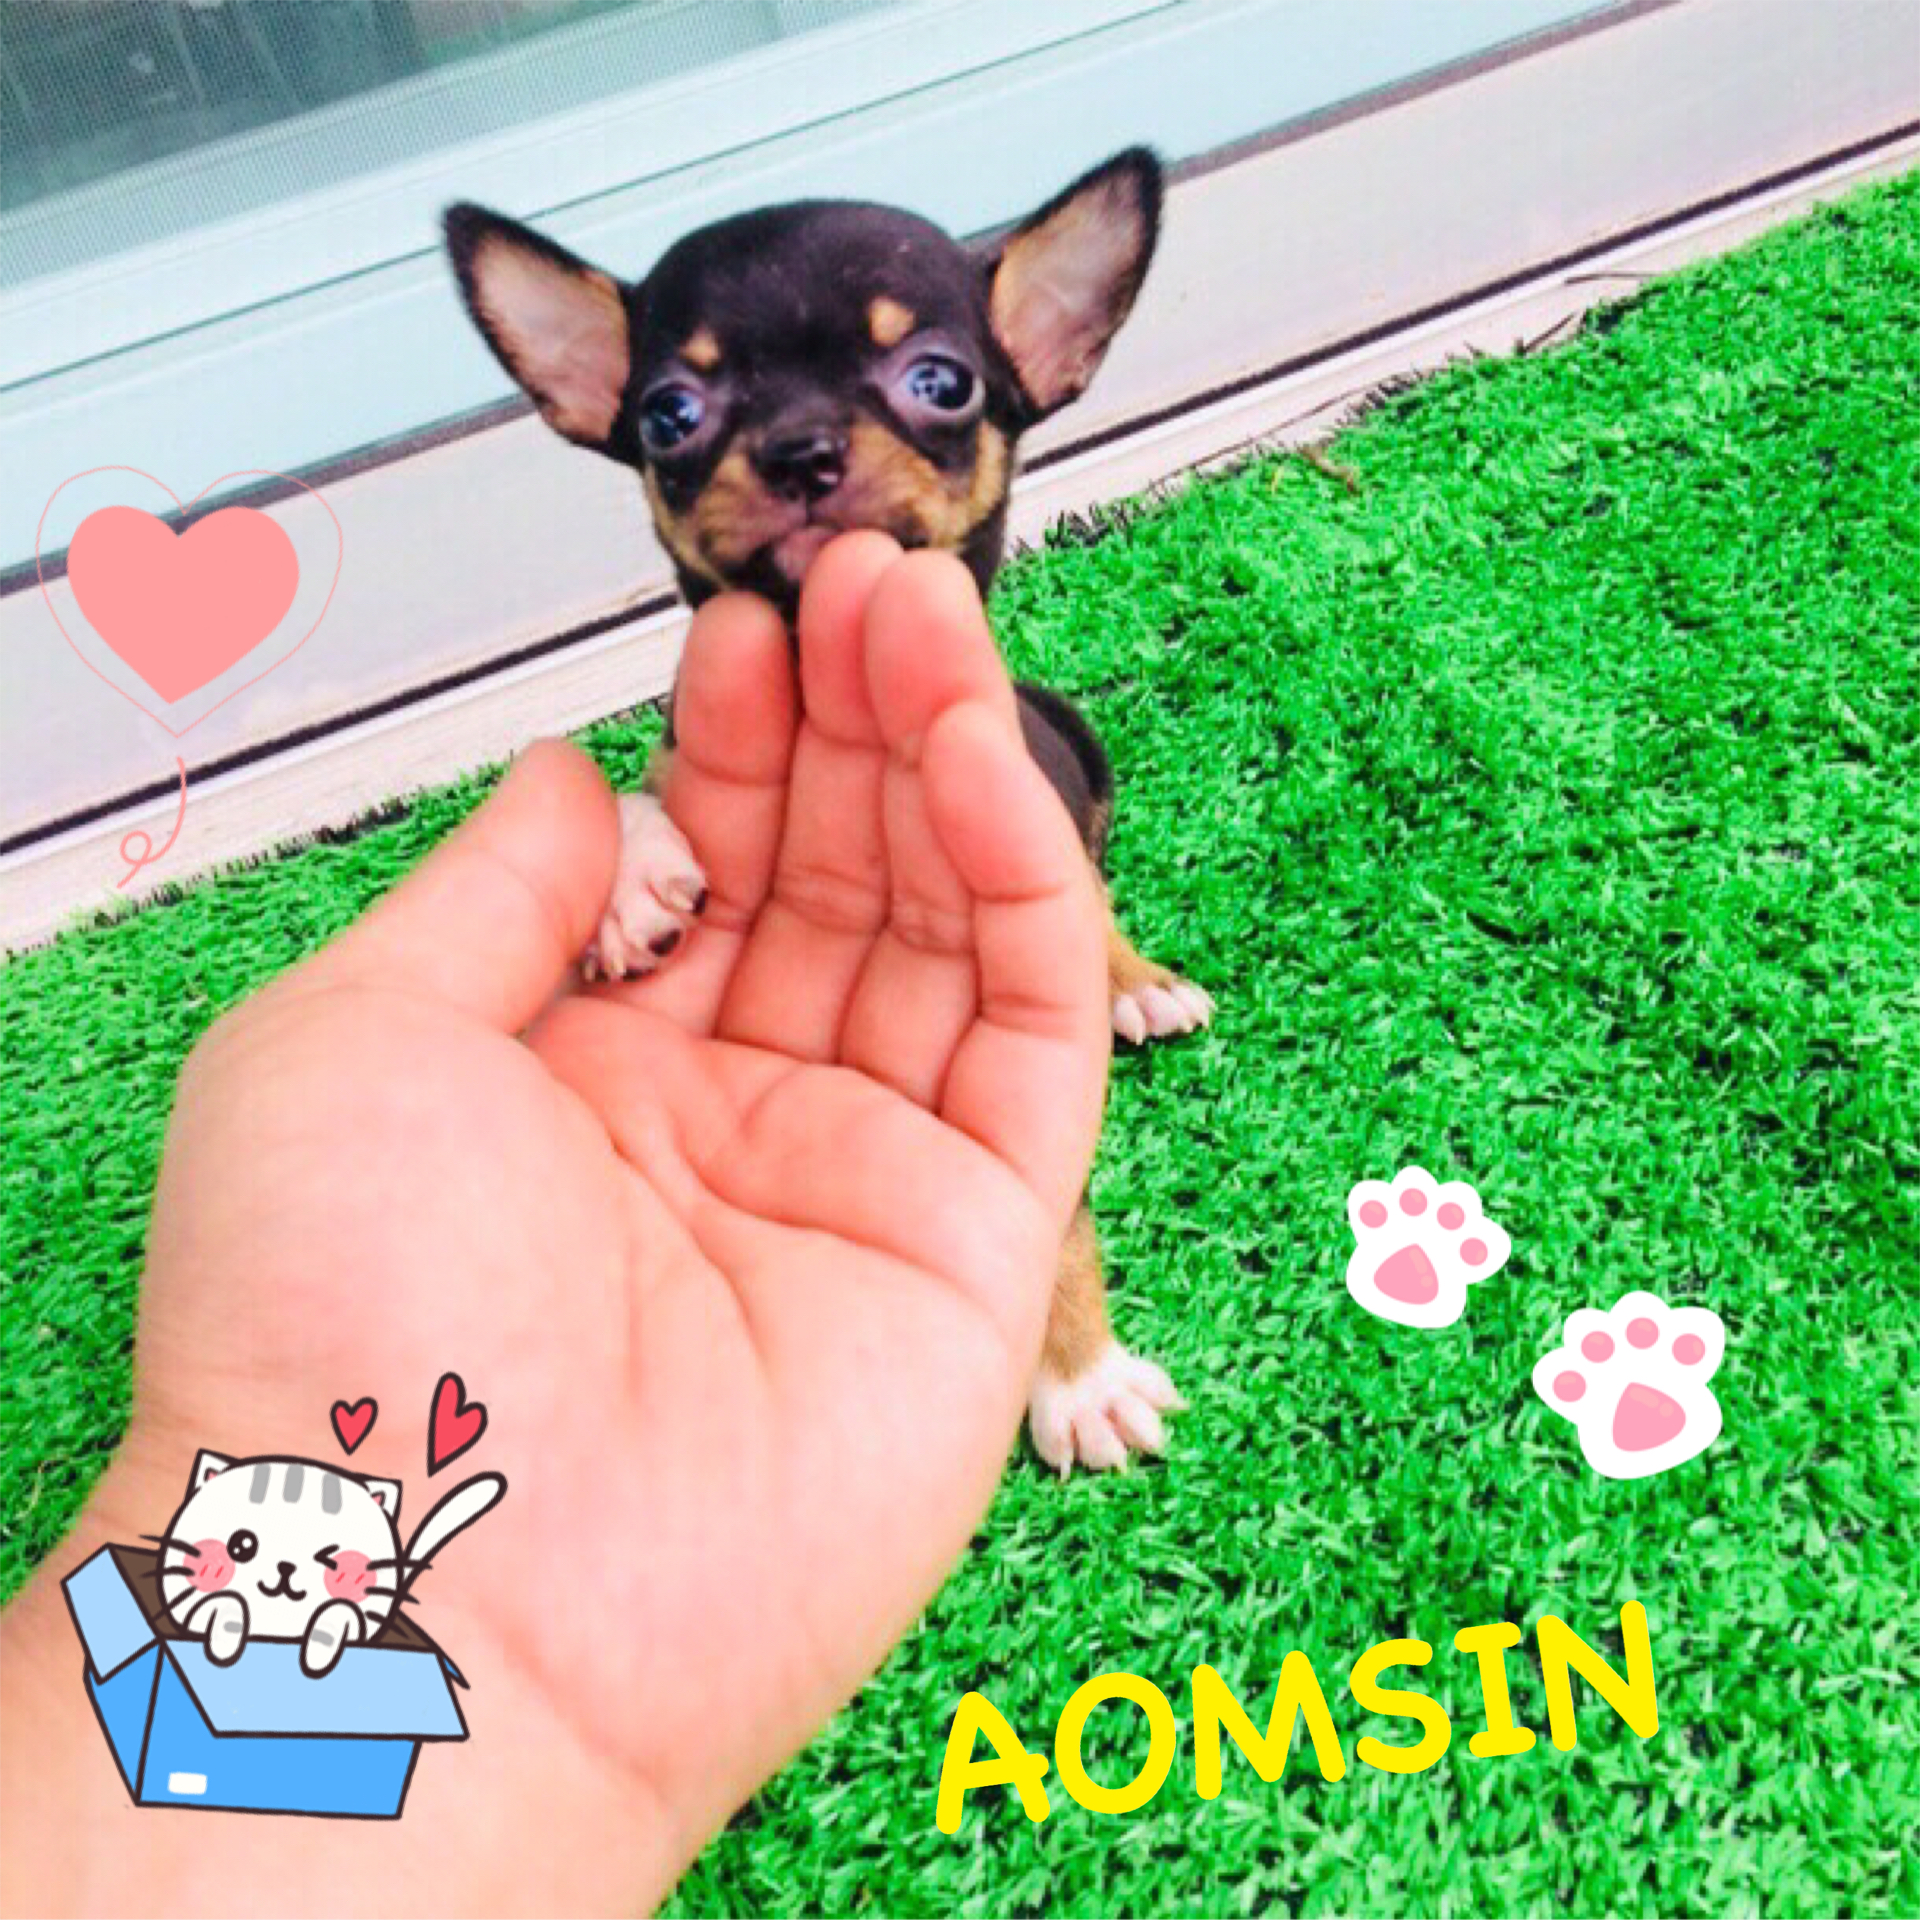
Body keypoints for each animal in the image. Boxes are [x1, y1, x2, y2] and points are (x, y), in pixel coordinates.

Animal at [152, 1450, 506, 1678]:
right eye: (241, 1545)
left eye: (331, 1559)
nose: (285, 1567)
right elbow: (221, 1604)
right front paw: (227, 1638)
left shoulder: (359, 1622)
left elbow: (338, 1613)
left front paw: (317, 1655)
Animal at [443, 148, 1211, 1474]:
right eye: (669, 413)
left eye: (942, 382)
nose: (799, 449)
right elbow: (628, 785)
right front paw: (630, 886)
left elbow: (1055, 1215)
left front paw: (1079, 1374)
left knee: (1096, 893)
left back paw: (1135, 981)